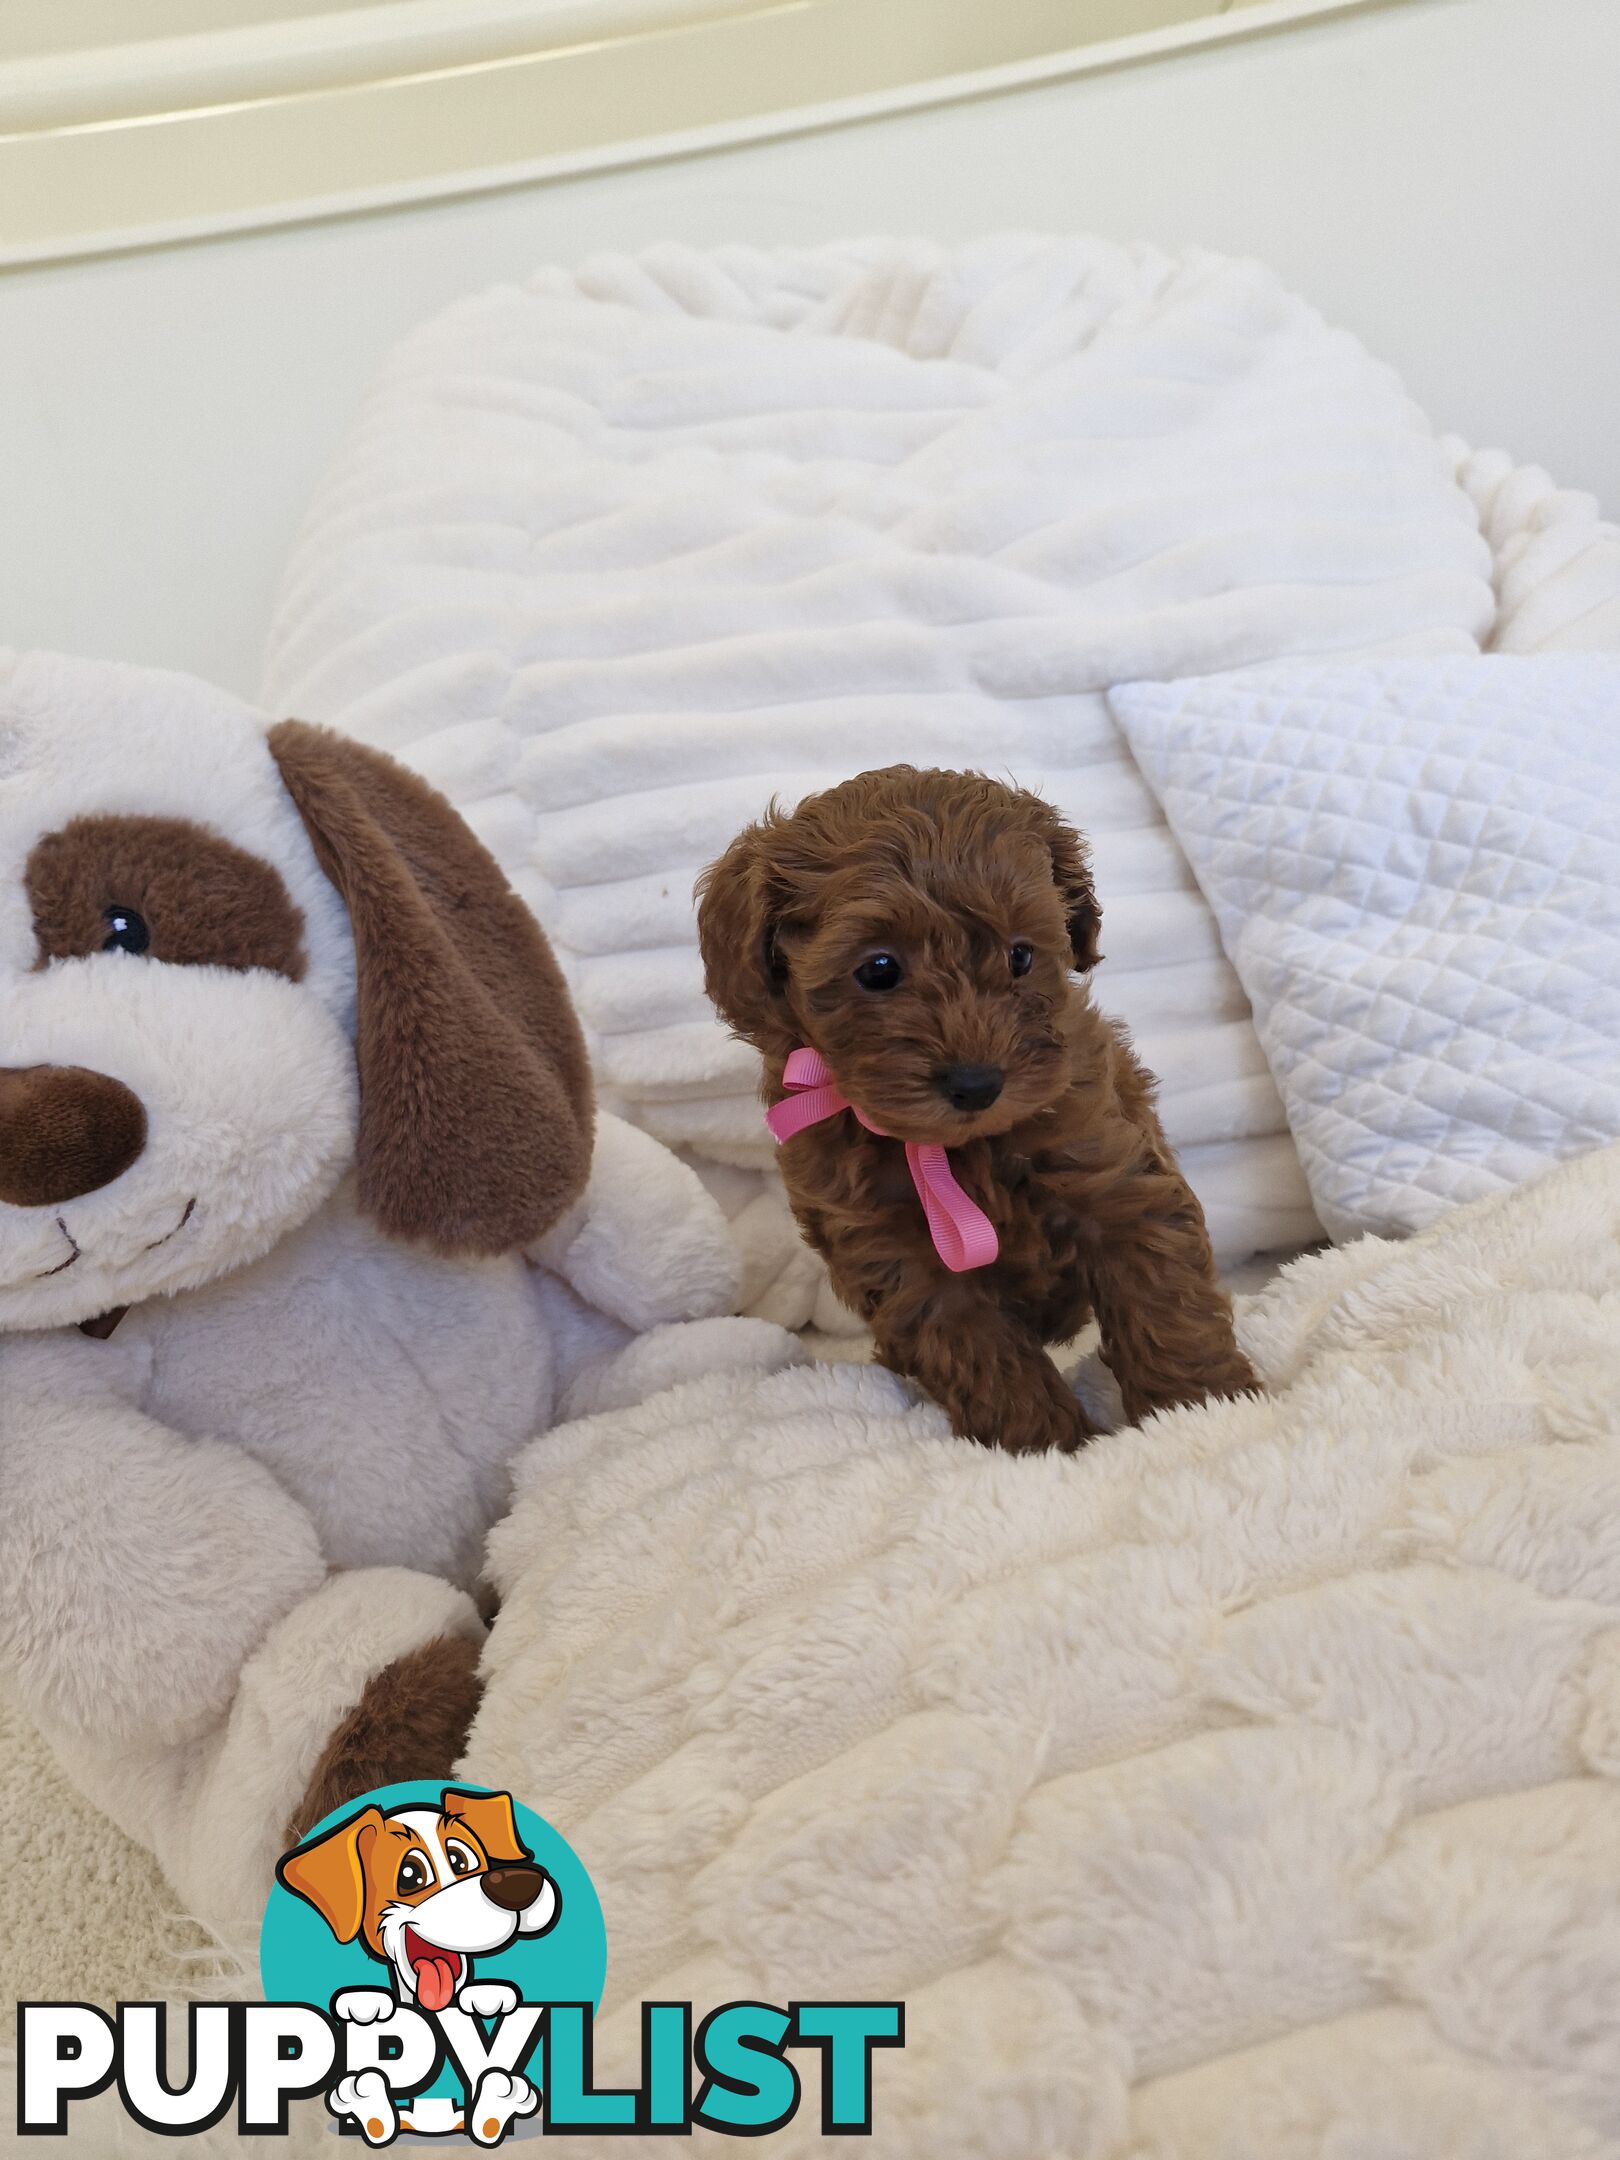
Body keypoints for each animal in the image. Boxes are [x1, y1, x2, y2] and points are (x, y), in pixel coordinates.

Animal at [695, 768, 1252, 1460]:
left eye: (1021, 957)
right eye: (879, 969)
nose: (976, 1083)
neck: (959, 1149)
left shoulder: (1114, 1181)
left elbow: (1162, 1299)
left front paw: (1200, 1410)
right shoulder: (904, 1261)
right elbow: (981, 1352)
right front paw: (1046, 1446)